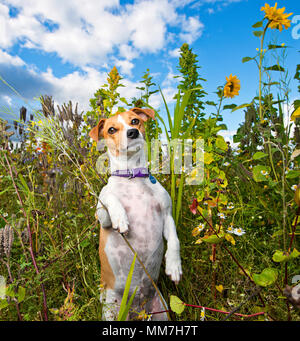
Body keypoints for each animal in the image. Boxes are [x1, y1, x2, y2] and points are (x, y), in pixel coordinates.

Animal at [89, 107, 182, 320]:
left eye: (135, 121)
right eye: (112, 129)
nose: (132, 132)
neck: (132, 176)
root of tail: (137, 310)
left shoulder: (167, 216)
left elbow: (174, 240)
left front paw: (174, 265)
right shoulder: (102, 216)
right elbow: (109, 197)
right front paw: (120, 217)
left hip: (161, 310)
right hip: (110, 311)